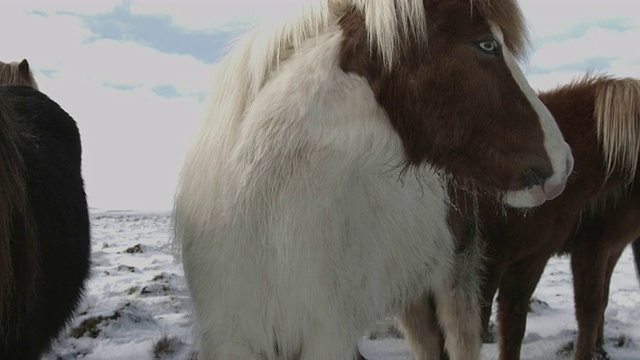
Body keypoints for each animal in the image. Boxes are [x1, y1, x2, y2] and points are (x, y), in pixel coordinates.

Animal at [172, 0, 572, 360]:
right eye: (486, 45)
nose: (564, 162)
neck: (266, 226)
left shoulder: (326, 337)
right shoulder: (231, 337)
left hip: (455, 284)